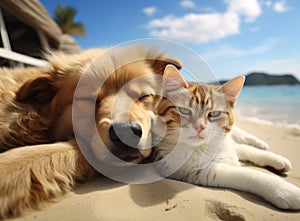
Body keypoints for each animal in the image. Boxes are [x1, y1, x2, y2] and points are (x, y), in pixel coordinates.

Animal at [151, 64, 300, 211]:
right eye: (184, 111)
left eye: (214, 114)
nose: (200, 127)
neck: (206, 147)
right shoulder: (199, 172)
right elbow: (250, 175)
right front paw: (285, 190)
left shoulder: (226, 142)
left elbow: (247, 149)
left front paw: (277, 159)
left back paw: (260, 143)